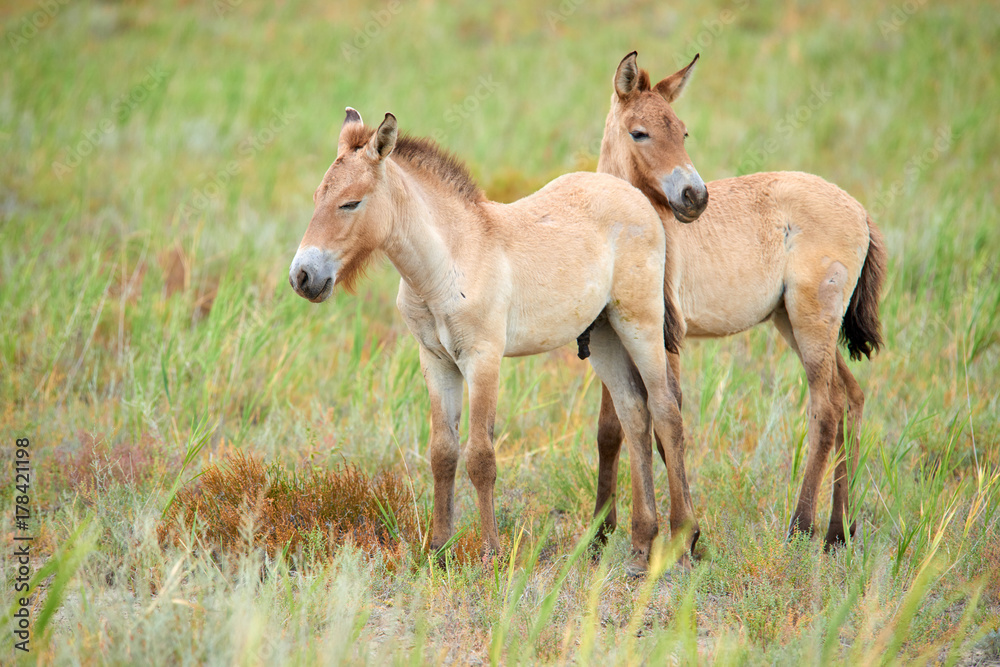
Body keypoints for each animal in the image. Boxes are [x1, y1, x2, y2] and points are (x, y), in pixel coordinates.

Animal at [290, 109, 708, 576]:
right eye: (317, 196)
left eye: (351, 202)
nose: (303, 276)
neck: (447, 263)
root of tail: (639, 198)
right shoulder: (436, 361)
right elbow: (442, 453)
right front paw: (438, 550)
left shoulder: (482, 359)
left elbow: (481, 457)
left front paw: (491, 553)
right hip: (604, 336)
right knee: (634, 416)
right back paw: (639, 546)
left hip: (640, 324)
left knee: (666, 412)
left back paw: (682, 539)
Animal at [592, 52, 884, 552]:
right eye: (639, 132)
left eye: (683, 132)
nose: (694, 196)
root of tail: (858, 209)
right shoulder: (618, 333)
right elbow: (612, 428)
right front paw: (598, 534)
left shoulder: (665, 336)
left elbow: (666, 417)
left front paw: (686, 537)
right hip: (792, 323)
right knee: (851, 397)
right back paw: (838, 532)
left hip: (811, 322)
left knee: (826, 408)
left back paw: (800, 526)